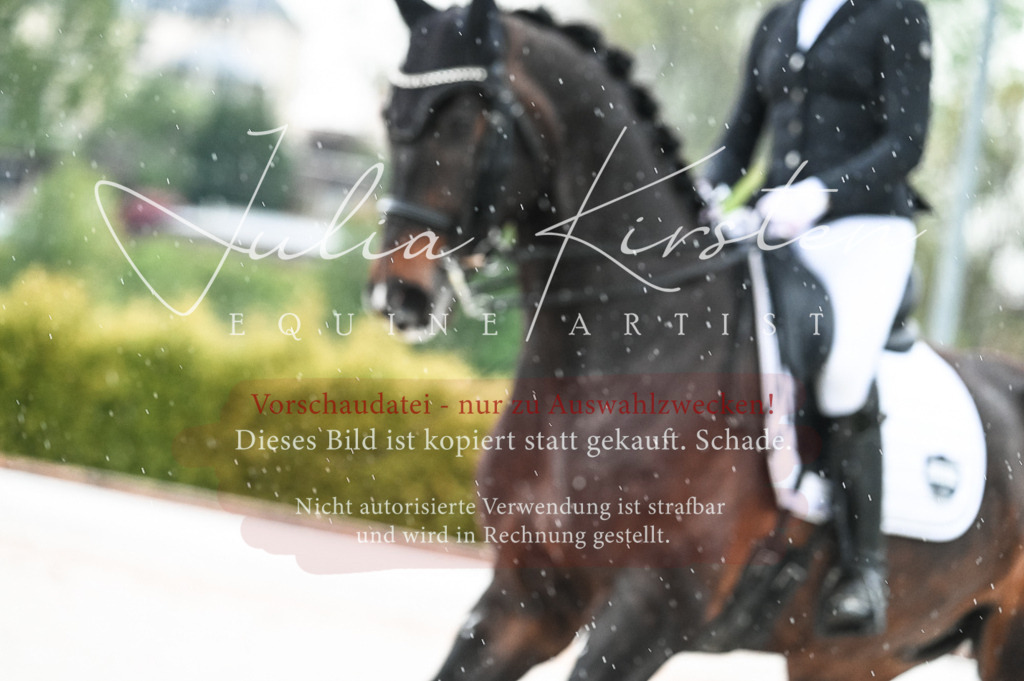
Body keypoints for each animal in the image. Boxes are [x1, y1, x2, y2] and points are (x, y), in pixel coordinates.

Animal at [367, 1, 1024, 679]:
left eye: (464, 121)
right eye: (390, 117)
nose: (399, 296)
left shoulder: (651, 611)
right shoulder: (524, 598)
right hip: (852, 654)